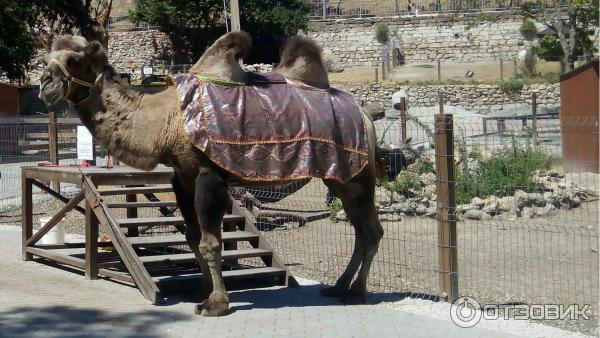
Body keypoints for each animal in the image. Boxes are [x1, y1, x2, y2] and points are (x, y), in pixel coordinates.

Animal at [38, 31, 384, 316]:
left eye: (75, 60)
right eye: (45, 58)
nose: (44, 83)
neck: (164, 121)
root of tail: (365, 114)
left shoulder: (209, 175)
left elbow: (210, 242)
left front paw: (216, 303)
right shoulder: (182, 176)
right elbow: (193, 239)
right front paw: (202, 292)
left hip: (358, 175)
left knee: (371, 230)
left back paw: (356, 293)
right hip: (339, 177)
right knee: (360, 229)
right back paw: (339, 287)